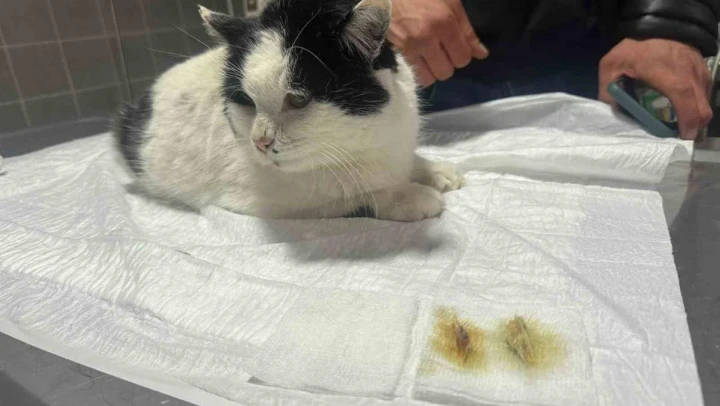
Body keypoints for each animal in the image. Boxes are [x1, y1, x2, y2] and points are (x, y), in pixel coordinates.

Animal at [114, 0, 465, 221]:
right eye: (247, 101)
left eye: (298, 99)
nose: (260, 142)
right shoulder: (267, 202)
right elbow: (352, 196)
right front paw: (407, 196)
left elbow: (406, 161)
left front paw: (434, 170)